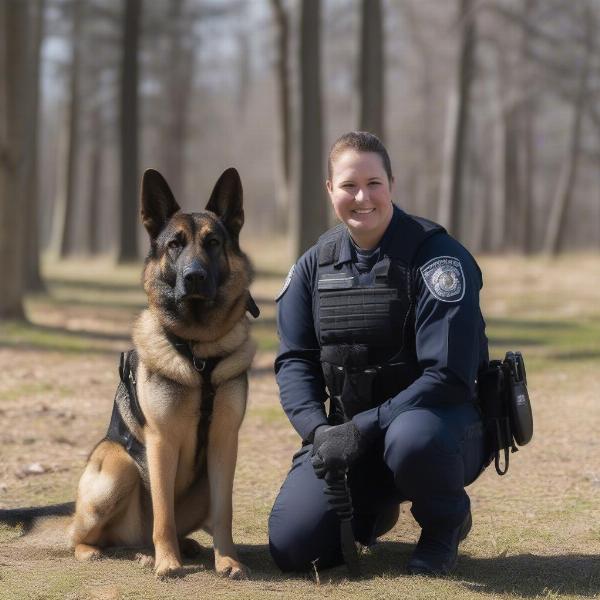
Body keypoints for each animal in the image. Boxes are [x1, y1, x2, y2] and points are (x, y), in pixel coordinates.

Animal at [0, 169, 258, 580]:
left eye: (213, 243)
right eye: (174, 244)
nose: (194, 277)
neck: (198, 352)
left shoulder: (224, 443)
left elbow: (224, 512)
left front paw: (228, 560)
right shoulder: (160, 442)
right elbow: (163, 513)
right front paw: (168, 563)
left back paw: (173, 548)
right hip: (118, 467)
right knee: (84, 535)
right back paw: (117, 552)